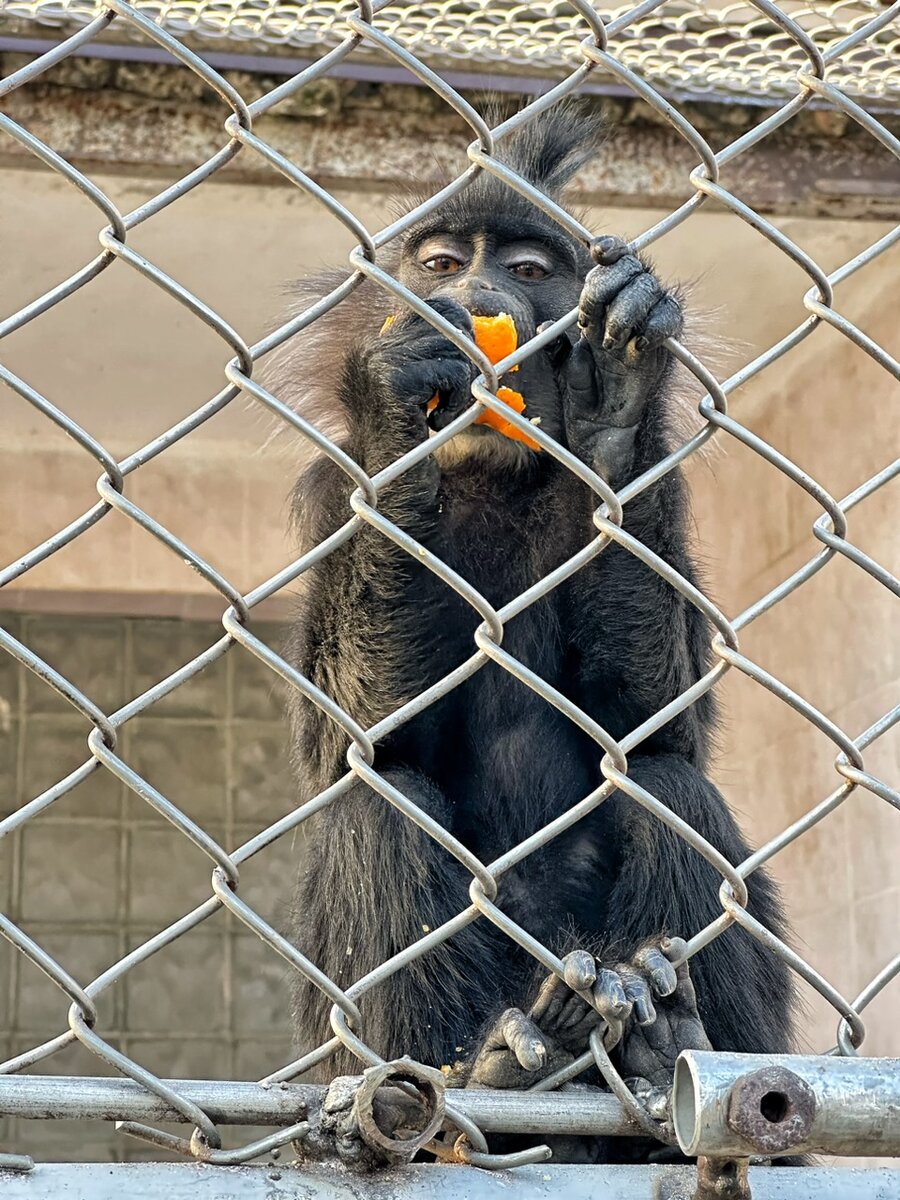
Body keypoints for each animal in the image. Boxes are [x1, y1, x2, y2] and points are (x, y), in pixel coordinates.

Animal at [274, 105, 796, 1161]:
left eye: (524, 269)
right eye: (439, 264)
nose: (471, 296)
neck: (490, 474)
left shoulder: (663, 493)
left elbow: (659, 729)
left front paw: (619, 392)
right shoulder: (329, 491)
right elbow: (347, 749)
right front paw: (395, 405)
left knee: (667, 786)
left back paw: (667, 1058)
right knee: (381, 805)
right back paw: (474, 1081)